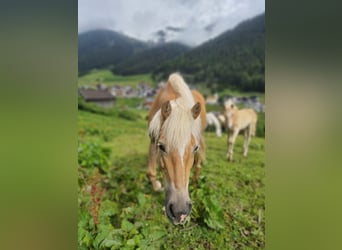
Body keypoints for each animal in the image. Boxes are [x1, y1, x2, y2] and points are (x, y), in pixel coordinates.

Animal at [147, 72, 206, 225]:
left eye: (195, 148)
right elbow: (150, 171)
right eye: (161, 147)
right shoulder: (153, 139)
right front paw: (156, 185)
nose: (180, 212)